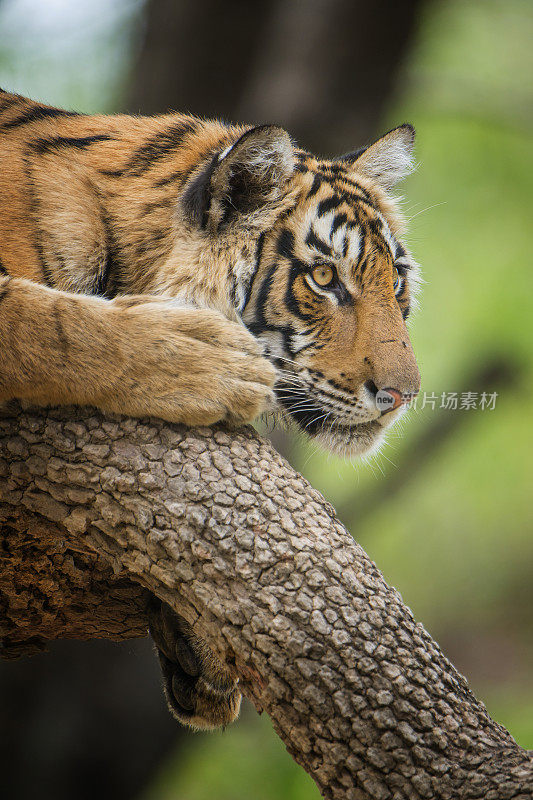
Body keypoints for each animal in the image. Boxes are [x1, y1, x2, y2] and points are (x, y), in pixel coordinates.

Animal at [0, 89, 420, 732]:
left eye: (395, 280)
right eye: (325, 277)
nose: (403, 396)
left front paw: (201, 650)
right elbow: (50, 320)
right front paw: (211, 358)